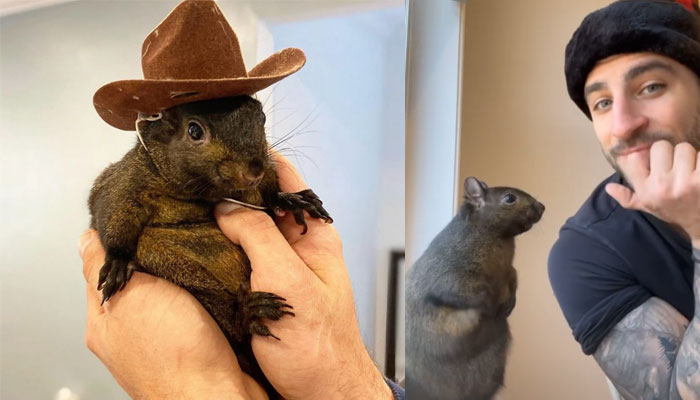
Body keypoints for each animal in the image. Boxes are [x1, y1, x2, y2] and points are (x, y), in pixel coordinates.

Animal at [87, 95, 332, 398]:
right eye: (194, 131)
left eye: (262, 118)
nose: (254, 170)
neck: (202, 193)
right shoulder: (124, 183)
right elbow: (112, 211)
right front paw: (117, 262)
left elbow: (269, 194)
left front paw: (292, 199)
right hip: (180, 271)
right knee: (233, 326)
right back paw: (247, 314)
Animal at [406, 176, 544, 400]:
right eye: (509, 198)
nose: (542, 207)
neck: (500, 240)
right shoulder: (449, 274)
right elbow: (465, 292)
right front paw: (489, 305)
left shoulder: (509, 271)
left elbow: (514, 279)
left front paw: (510, 303)